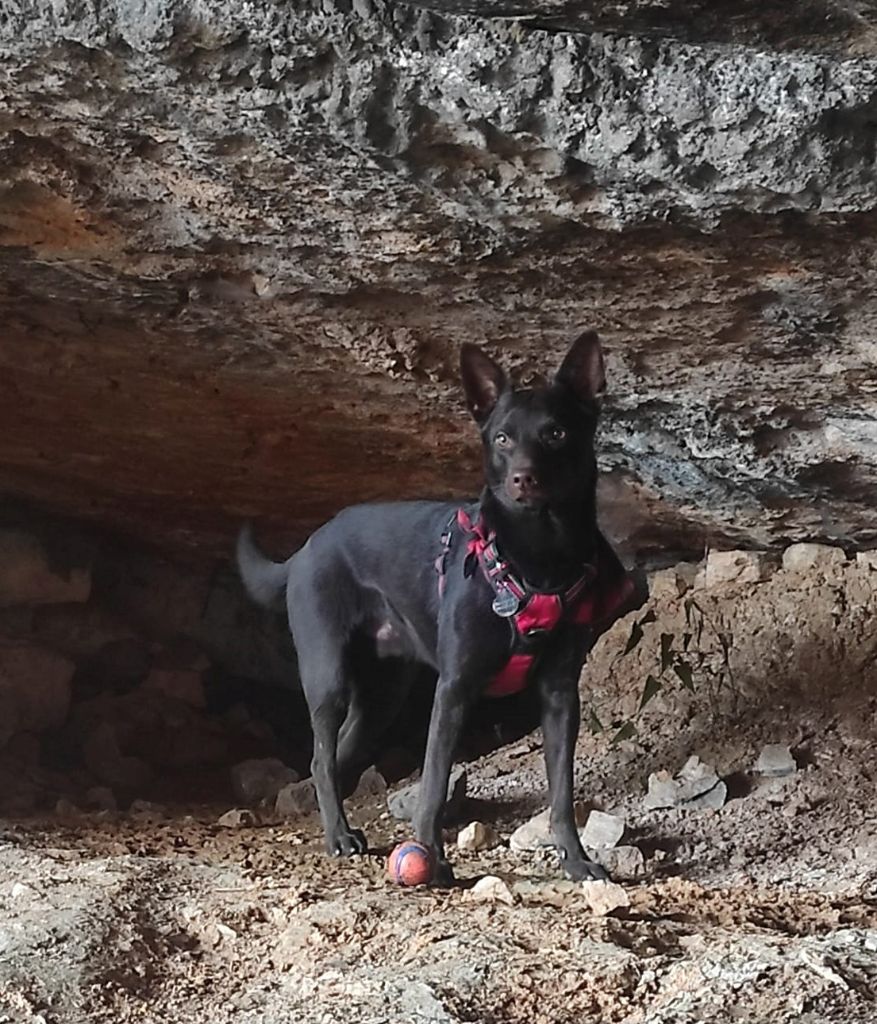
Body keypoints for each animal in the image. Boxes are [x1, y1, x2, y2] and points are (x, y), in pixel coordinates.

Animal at [237, 331, 635, 884]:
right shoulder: (454, 689)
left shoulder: (560, 695)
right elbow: (434, 781)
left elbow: (560, 793)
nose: (523, 479)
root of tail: (306, 547)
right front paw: (430, 857)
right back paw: (339, 837)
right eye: (502, 439)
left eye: (556, 433)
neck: (537, 555)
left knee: (337, 759)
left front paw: (575, 861)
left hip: (381, 698)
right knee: (320, 757)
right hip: (327, 674)